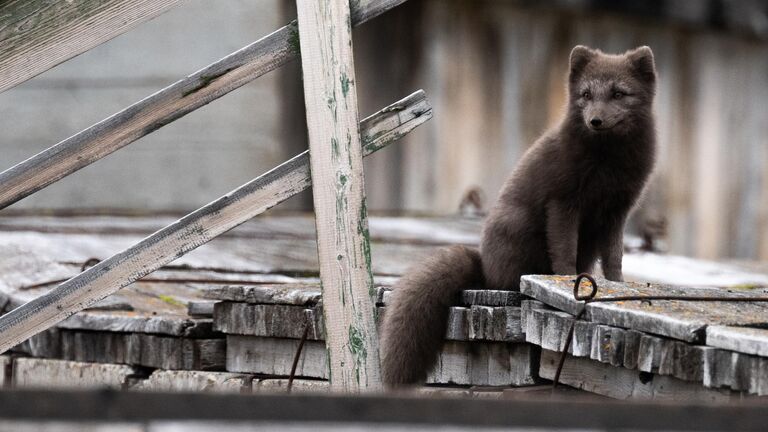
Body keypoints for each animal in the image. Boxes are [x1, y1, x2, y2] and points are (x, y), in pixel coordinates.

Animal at [380, 46, 656, 384]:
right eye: (586, 94)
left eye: (619, 93)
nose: (595, 120)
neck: (608, 167)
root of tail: (484, 267)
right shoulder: (563, 201)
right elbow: (564, 249)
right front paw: (568, 280)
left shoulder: (618, 210)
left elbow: (615, 257)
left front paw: (620, 283)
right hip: (518, 227)